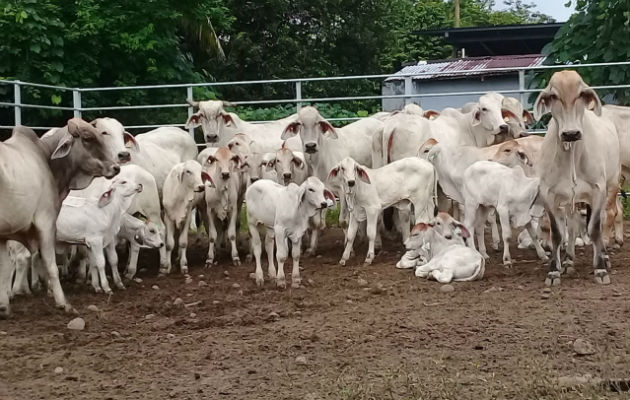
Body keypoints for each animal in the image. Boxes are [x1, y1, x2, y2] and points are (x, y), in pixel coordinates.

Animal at [0, 120, 121, 318]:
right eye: (87, 138)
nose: (116, 167)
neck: (45, 158)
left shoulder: (4, 235)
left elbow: (3, 268)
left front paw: (3, 307)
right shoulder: (45, 222)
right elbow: (51, 266)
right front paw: (63, 303)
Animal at [540, 70, 624, 286]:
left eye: (581, 94)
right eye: (553, 96)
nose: (571, 133)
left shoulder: (598, 189)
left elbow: (594, 228)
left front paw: (600, 269)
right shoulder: (548, 193)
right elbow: (557, 232)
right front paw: (554, 271)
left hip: (611, 185)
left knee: (605, 218)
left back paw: (604, 256)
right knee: (571, 227)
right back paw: (569, 261)